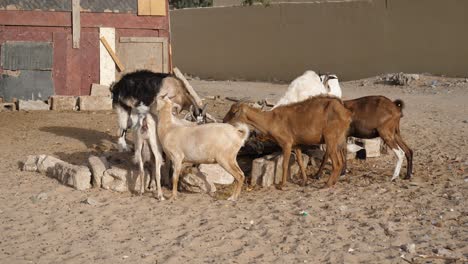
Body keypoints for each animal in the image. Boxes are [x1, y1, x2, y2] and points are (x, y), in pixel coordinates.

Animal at [223, 96, 352, 187]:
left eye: (234, 112)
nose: (224, 121)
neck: (271, 120)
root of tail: (346, 113)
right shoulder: (296, 144)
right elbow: (300, 162)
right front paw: (305, 181)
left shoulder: (286, 143)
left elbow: (285, 164)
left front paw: (282, 185)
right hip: (338, 140)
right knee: (340, 160)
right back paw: (333, 182)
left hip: (331, 139)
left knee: (337, 163)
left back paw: (327, 184)